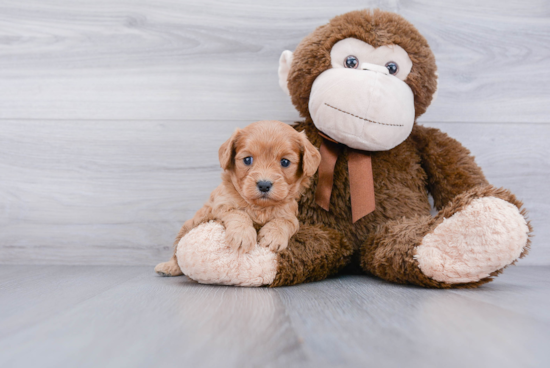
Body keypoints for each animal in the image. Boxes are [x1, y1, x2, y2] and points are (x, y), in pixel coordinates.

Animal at [155, 121, 322, 276]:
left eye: (285, 162)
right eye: (247, 160)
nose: (264, 185)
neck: (259, 207)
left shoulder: (289, 213)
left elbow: (285, 222)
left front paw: (273, 236)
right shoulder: (221, 205)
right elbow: (239, 213)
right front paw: (242, 235)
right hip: (186, 228)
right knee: (176, 254)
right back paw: (168, 267)